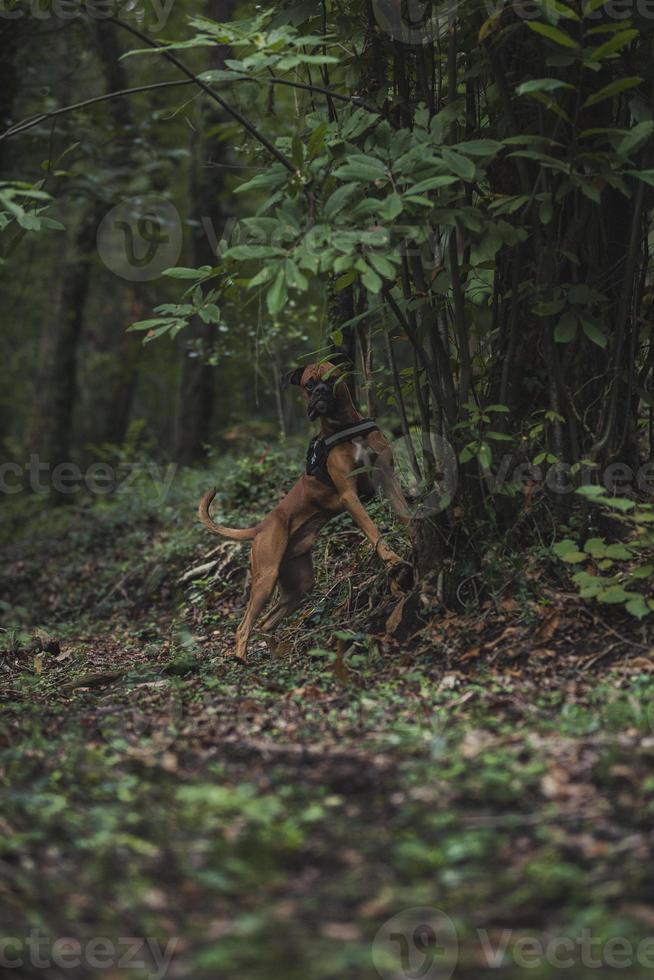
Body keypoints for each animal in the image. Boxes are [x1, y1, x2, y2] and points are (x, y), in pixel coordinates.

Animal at [197, 360, 410, 660]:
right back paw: (242, 660)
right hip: (265, 578)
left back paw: (275, 655)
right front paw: (392, 560)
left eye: (331, 379)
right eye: (309, 384)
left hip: (299, 585)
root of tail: (260, 527)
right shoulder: (349, 496)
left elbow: (406, 515)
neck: (344, 426)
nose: (319, 391)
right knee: (244, 625)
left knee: (266, 622)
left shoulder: (388, 480)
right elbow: (373, 529)